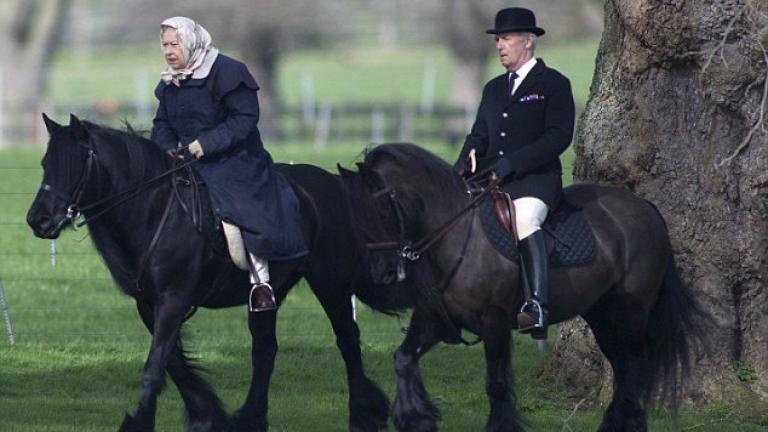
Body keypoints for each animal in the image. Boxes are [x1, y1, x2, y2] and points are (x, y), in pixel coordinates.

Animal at [24, 115, 402, 432]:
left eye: (74, 165)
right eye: (44, 164)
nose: (38, 220)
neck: (154, 208)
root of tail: (334, 185)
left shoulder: (174, 299)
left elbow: (156, 364)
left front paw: (140, 422)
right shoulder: (149, 303)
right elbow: (173, 362)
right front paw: (208, 416)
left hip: (330, 282)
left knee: (347, 340)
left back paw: (363, 415)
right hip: (268, 293)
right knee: (265, 350)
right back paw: (250, 419)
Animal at [340, 144, 712, 432]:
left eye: (382, 209)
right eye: (354, 213)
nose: (384, 273)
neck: (456, 235)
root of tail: (645, 207)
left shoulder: (494, 321)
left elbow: (496, 384)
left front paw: (499, 427)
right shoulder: (433, 318)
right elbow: (403, 358)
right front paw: (416, 418)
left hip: (630, 313)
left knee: (635, 368)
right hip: (602, 316)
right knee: (624, 368)